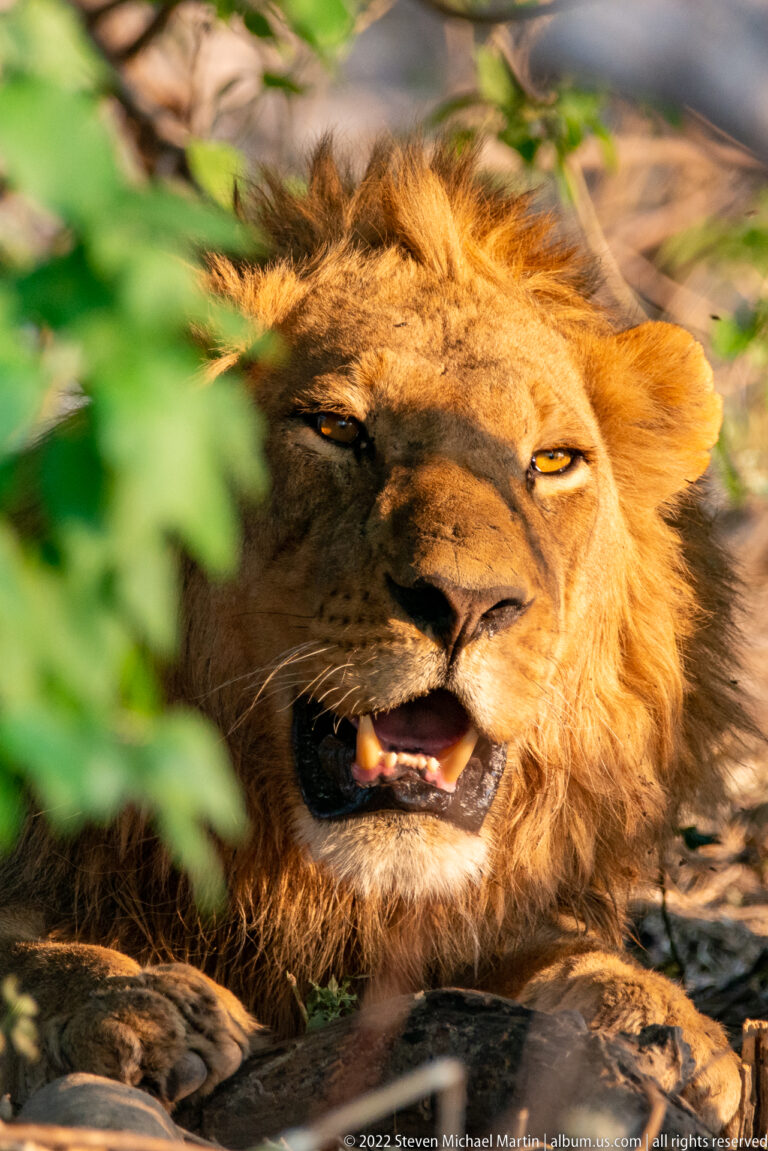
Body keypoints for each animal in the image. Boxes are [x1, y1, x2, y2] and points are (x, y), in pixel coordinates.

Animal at [0, 138, 751, 1133]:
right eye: (335, 427)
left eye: (553, 461)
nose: (468, 603)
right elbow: (24, 954)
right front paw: (135, 1001)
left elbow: (568, 952)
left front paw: (660, 1023)